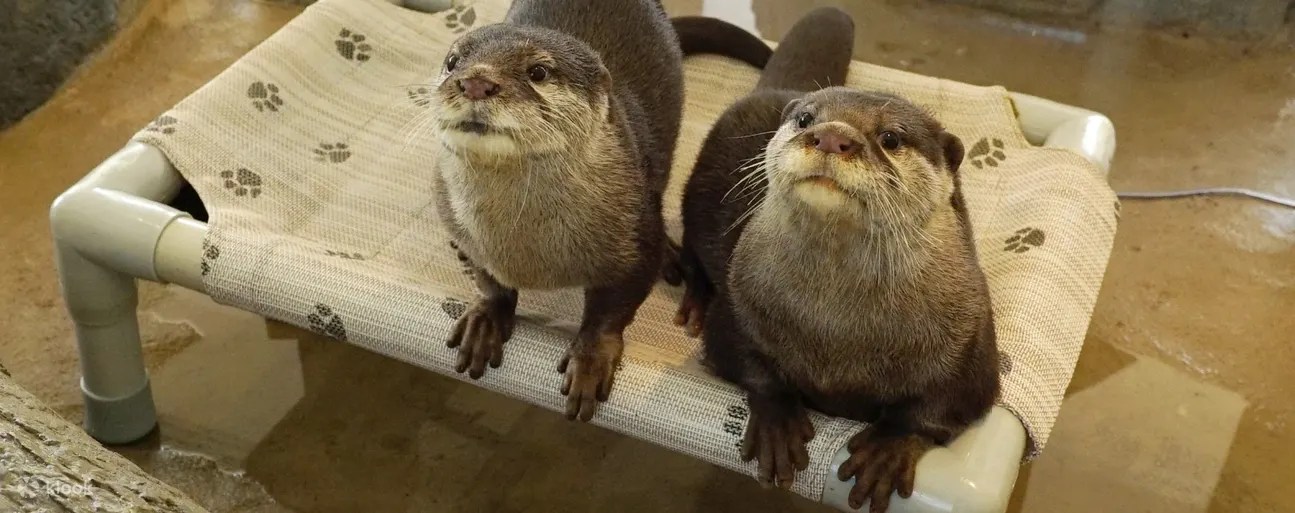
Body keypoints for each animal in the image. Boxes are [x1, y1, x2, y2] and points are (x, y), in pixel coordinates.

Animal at [427, 0, 767, 422]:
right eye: (453, 62)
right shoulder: (467, 230)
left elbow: (614, 308)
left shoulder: (633, 237)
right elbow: (489, 282)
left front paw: (590, 359)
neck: (528, 250)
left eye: (538, 71)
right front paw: (486, 319)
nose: (475, 82)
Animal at [675, 9, 1000, 513]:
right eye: (807, 119)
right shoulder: (739, 301)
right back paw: (693, 297)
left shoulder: (972, 345)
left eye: (891, 137)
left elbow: (943, 408)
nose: (831, 136)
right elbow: (740, 357)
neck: (837, 331)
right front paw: (778, 420)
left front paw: (888, 447)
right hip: (697, 194)